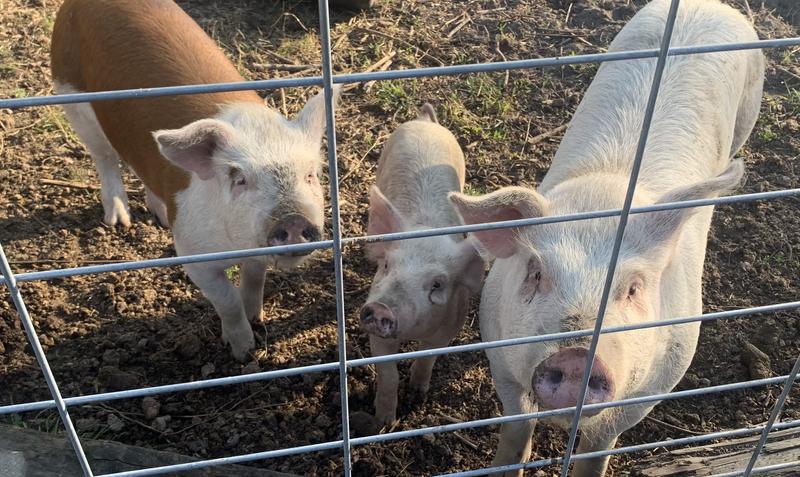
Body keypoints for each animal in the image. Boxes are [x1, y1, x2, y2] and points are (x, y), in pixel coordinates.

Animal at [50, 0, 339, 361]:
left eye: (311, 174)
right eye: (239, 178)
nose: (294, 218)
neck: (236, 245)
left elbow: (254, 279)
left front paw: (257, 318)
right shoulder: (192, 253)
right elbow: (226, 299)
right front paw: (243, 351)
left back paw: (160, 216)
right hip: (70, 96)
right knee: (104, 156)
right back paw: (119, 221)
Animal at [361, 104, 485, 426]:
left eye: (437, 284)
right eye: (387, 266)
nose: (380, 308)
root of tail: (425, 121)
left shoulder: (451, 325)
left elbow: (428, 357)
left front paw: (417, 395)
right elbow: (388, 375)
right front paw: (384, 423)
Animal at [449, 0, 764, 475]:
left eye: (633, 288)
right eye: (536, 273)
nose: (577, 357)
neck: (606, 194)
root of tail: (709, 6)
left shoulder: (654, 385)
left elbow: (598, 446)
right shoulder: (499, 352)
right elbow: (517, 425)